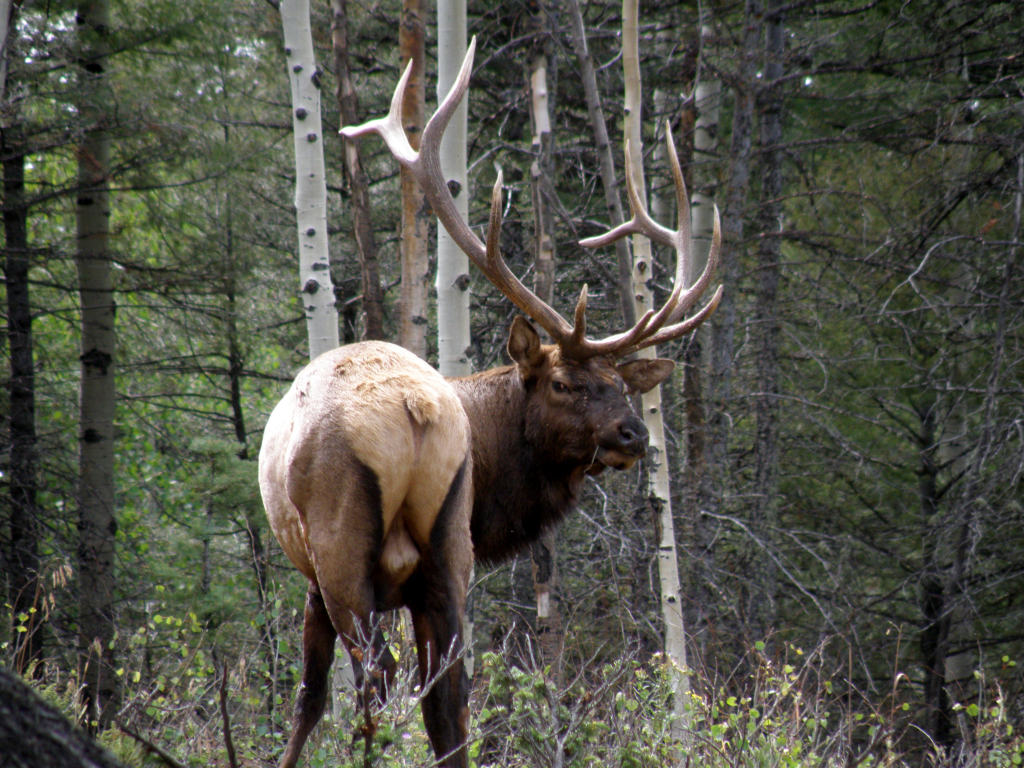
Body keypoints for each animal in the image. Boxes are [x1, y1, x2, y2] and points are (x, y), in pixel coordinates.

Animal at [258, 37, 721, 768]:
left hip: (339, 545)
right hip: (447, 551)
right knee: (447, 697)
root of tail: (416, 415)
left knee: (373, 681)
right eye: (565, 383)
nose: (634, 435)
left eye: (621, 385)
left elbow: (308, 699)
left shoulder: (309, 576)